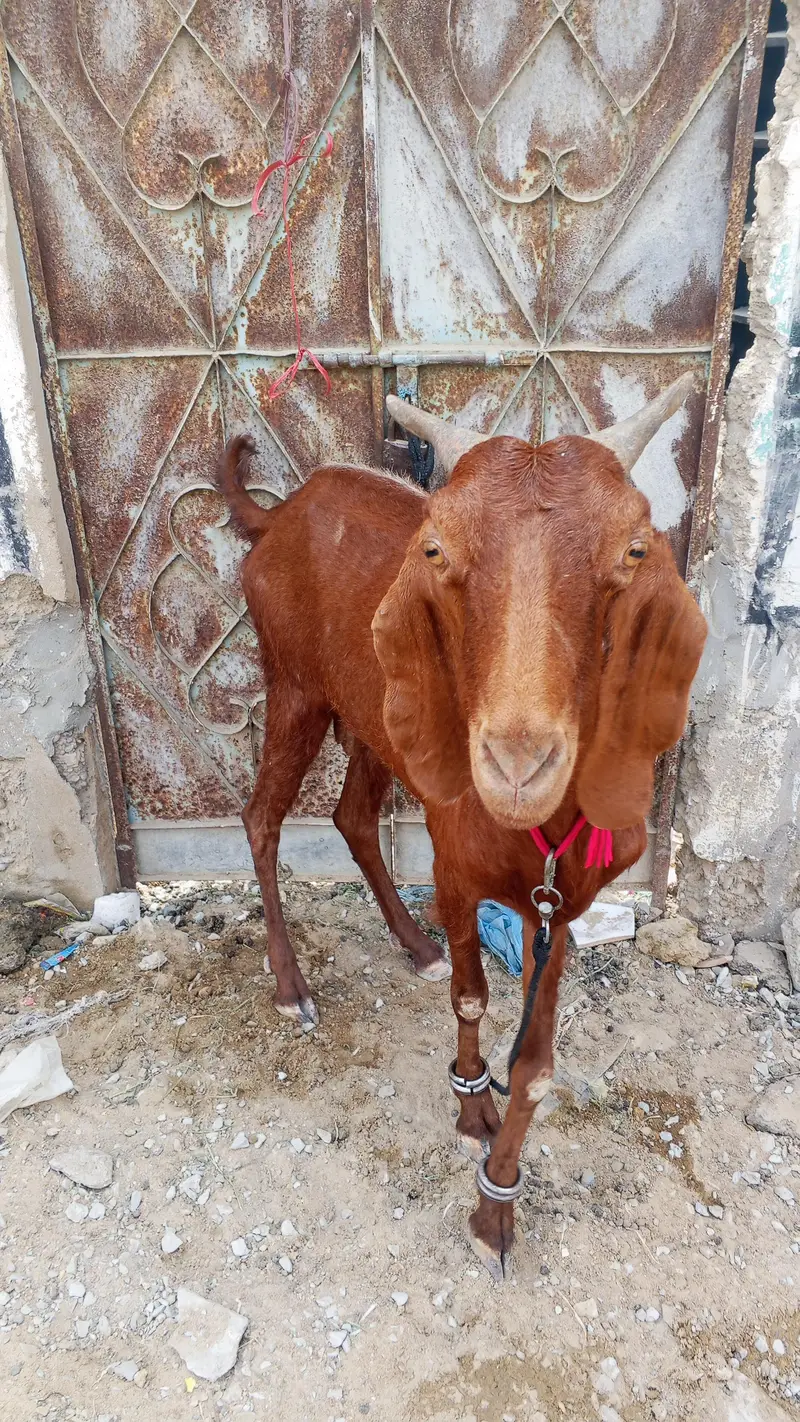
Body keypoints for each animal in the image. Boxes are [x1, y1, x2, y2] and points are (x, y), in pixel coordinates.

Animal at [217, 373, 707, 1280]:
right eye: (437, 550)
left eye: (634, 550)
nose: (517, 764)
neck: (534, 838)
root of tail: (281, 514)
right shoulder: (454, 865)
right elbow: (474, 998)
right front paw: (471, 1106)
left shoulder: (562, 908)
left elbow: (538, 1066)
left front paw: (497, 1205)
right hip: (295, 684)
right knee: (262, 815)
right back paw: (292, 985)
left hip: (376, 719)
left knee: (352, 817)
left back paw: (413, 945)